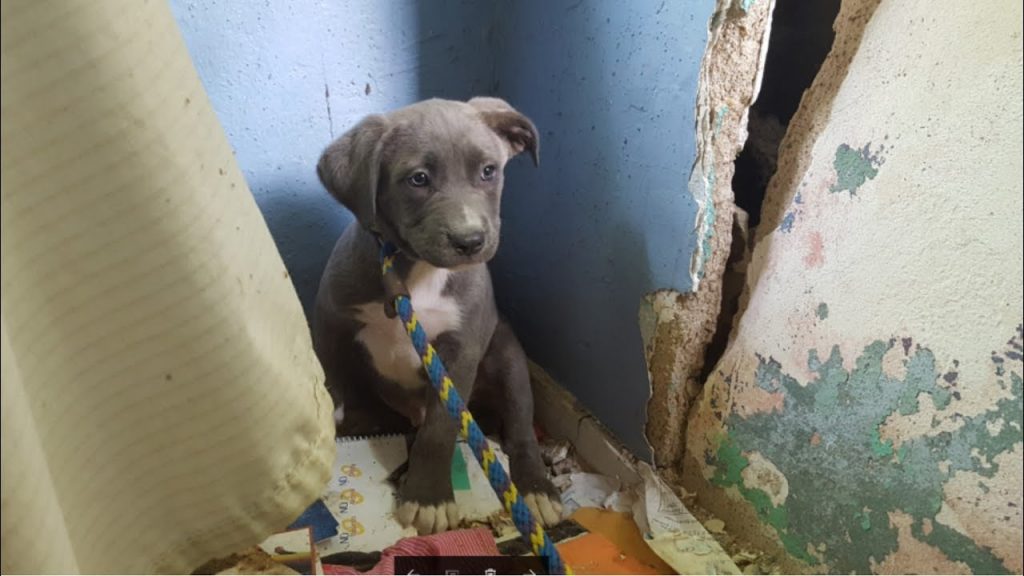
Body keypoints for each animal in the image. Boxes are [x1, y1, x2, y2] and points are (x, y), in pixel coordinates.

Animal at [315, 97, 565, 532]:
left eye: (488, 171)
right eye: (418, 179)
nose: (471, 241)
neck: (417, 274)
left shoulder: (459, 353)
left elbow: (440, 429)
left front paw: (427, 497)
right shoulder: (330, 321)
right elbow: (330, 380)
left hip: (509, 359)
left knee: (521, 431)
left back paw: (537, 489)